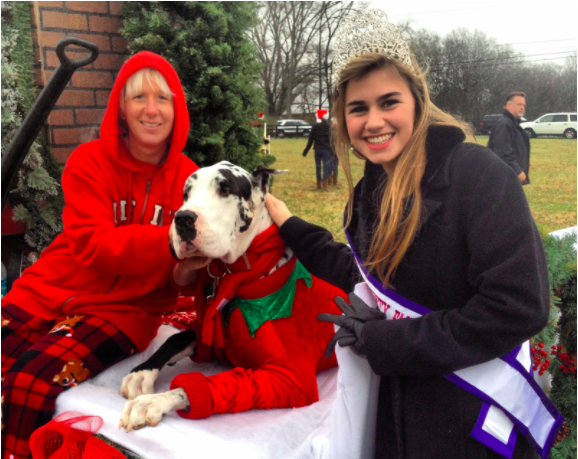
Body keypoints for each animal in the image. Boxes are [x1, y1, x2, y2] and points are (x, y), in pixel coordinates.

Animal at [117, 161, 342, 432]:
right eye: (186, 194)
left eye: (225, 189)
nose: (182, 219)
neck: (242, 274)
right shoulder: (208, 339)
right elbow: (174, 339)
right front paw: (141, 373)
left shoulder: (292, 378)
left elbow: (200, 383)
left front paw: (154, 400)